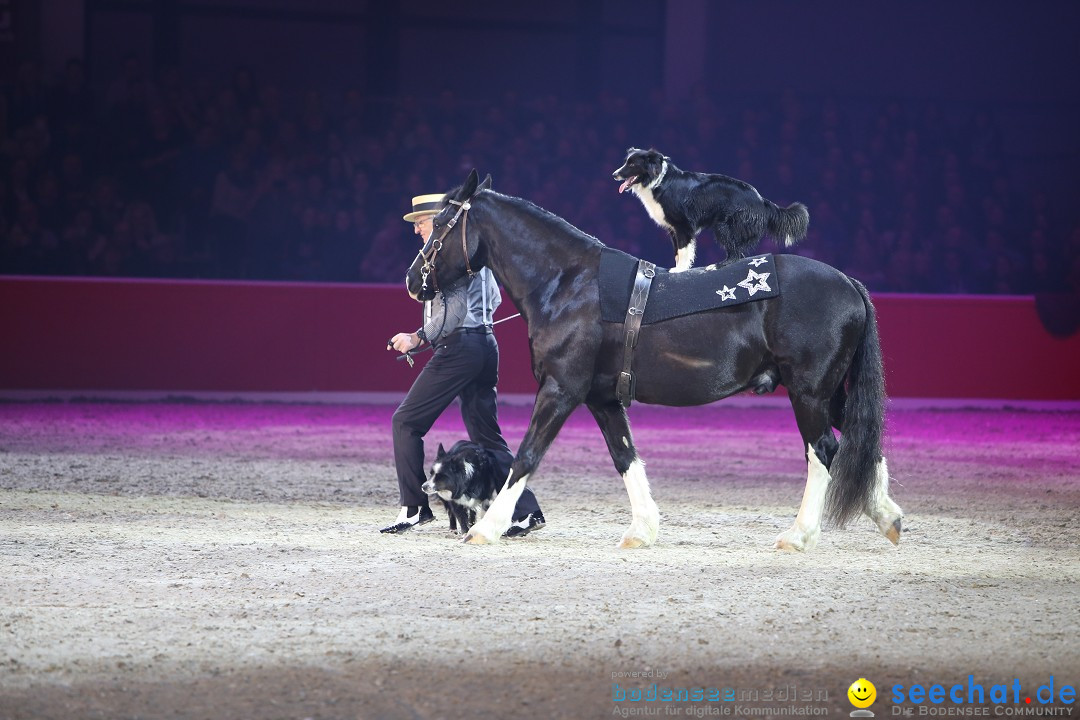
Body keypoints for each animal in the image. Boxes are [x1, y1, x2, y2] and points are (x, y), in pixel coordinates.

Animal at [406, 170, 902, 552]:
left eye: (443, 223)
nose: (413, 279)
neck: (569, 283)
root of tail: (849, 283)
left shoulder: (560, 390)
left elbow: (526, 455)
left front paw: (487, 529)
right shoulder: (602, 398)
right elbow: (626, 457)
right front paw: (642, 531)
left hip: (808, 393)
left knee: (824, 453)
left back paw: (799, 535)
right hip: (831, 394)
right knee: (862, 443)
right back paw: (888, 517)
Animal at [613, 147, 807, 272]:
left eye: (632, 165)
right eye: (626, 163)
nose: (614, 174)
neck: (659, 181)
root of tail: (761, 200)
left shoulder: (683, 226)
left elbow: (683, 250)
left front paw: (679, 270)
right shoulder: (673, 230)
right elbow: (677, 252)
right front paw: (678, 267)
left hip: (723, 226)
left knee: (736, 254)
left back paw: (716, 266)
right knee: (740, 253)